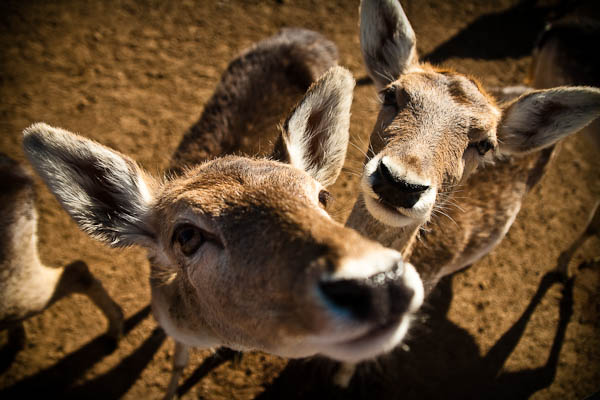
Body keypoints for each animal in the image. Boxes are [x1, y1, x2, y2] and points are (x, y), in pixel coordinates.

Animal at [22, 27, 422, 396]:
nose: (378, 282)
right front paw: (171, 389)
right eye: (186, 235)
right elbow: (178, 360)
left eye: (323, 197)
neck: (209, 331)